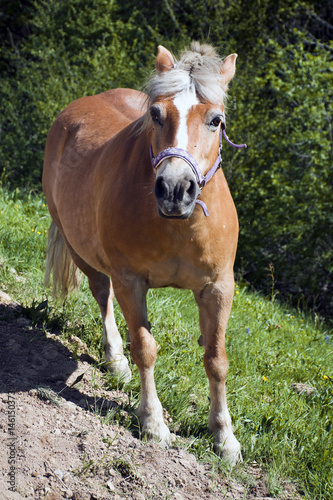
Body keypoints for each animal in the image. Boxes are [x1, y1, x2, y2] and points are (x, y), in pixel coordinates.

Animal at [42, 41, 244, 462]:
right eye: (156, 114)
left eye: (216, 120)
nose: (174, 189)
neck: (178, 226)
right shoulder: (131, 282)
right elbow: (146, 349)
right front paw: (153, 423)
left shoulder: (219, 288)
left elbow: (216, 359)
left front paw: (224, 438)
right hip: (83, 253)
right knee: (102, 294)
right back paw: (115, 358)